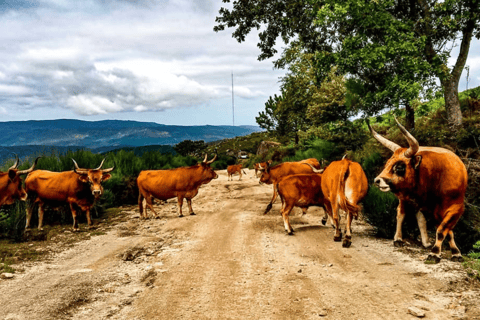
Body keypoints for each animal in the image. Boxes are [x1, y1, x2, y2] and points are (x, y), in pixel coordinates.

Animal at [368, 117, 468, 262]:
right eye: (387, 164)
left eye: (399, 167)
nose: (377, 180)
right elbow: (442, 229)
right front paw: (435, 253)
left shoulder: (456, 208)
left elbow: (444, 229)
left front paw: (452, 252)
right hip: (405, 199)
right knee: (401, 214)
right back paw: (398, 239)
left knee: (421, 219)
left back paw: (426, 242)